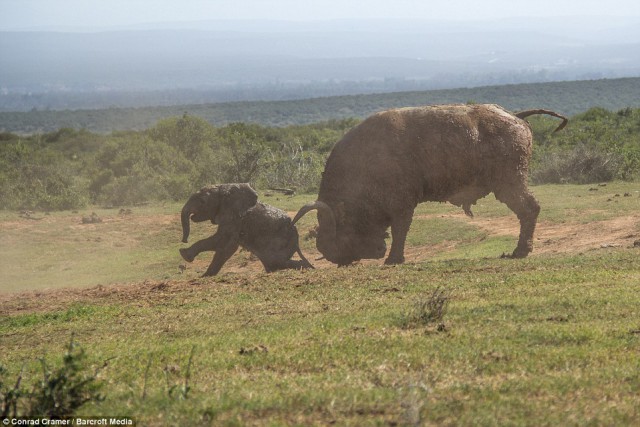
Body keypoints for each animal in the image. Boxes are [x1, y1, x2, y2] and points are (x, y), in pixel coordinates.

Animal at [180, 184, 312, 278]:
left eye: (203, 201)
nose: (184, 240)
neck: (224, 189)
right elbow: (225, 245)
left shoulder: (235, 219)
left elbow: (224, 243)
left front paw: (185, 256)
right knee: (272, 264)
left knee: (276, 262)